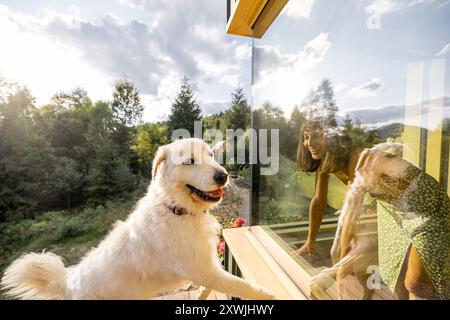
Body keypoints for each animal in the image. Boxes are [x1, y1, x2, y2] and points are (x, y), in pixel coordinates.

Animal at [0, 138, 274, 300]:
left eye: (211, 156)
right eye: (190, 161)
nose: (223, 175)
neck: (175, 209)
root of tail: (68, 282)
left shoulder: (208, 268)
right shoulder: (204, 271)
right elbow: (244, 286)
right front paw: (270, 295)